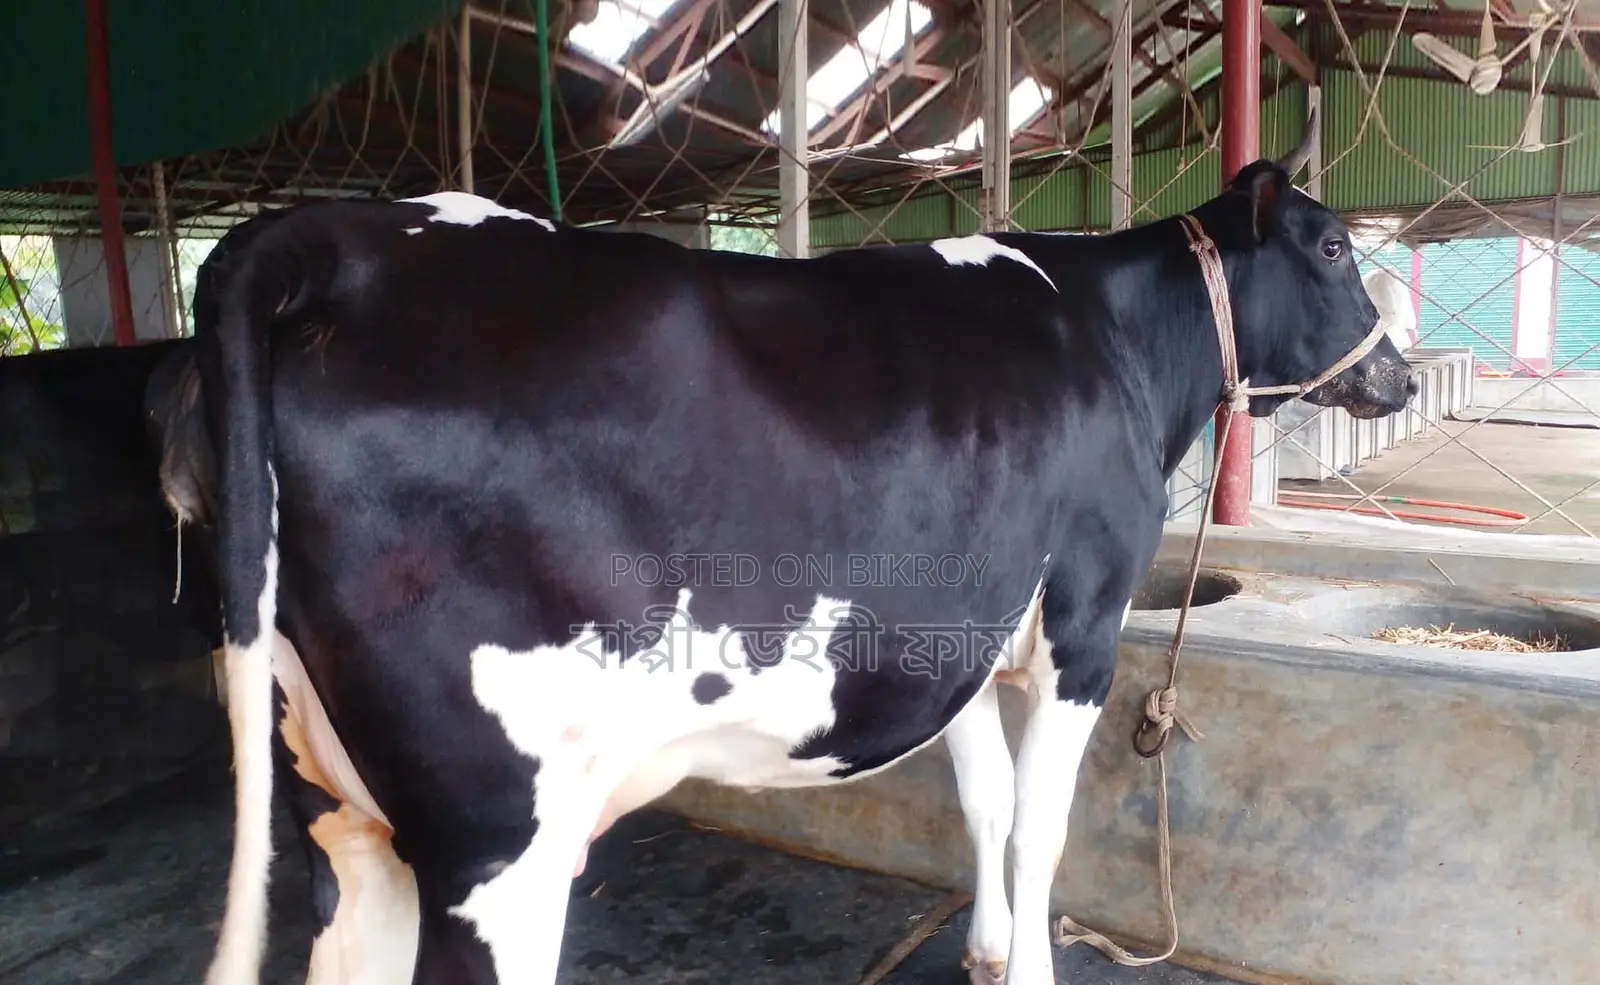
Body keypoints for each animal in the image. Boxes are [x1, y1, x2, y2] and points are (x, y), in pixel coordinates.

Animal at [148, 119, 1416, 985]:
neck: (1115, 337)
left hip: (333, 796)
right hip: (497, 827)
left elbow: (985, 803)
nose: (1399, 377)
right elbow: (1038, 826)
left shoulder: (953, 631)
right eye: (1333, 243)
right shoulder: (1083, 622)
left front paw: (985, 950)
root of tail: (329, 237)